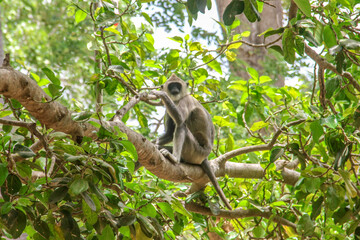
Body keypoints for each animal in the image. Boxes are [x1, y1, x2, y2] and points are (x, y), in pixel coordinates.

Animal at [150, 74, 232, 209]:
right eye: (171, 86)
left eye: (177, 85)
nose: (175, 91)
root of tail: (205, 156)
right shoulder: (168, 110)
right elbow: (169, 134)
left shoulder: (186, 100)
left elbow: (179, 120)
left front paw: (162, 95)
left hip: (195, 152)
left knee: (182, 126)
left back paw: (175, 159)